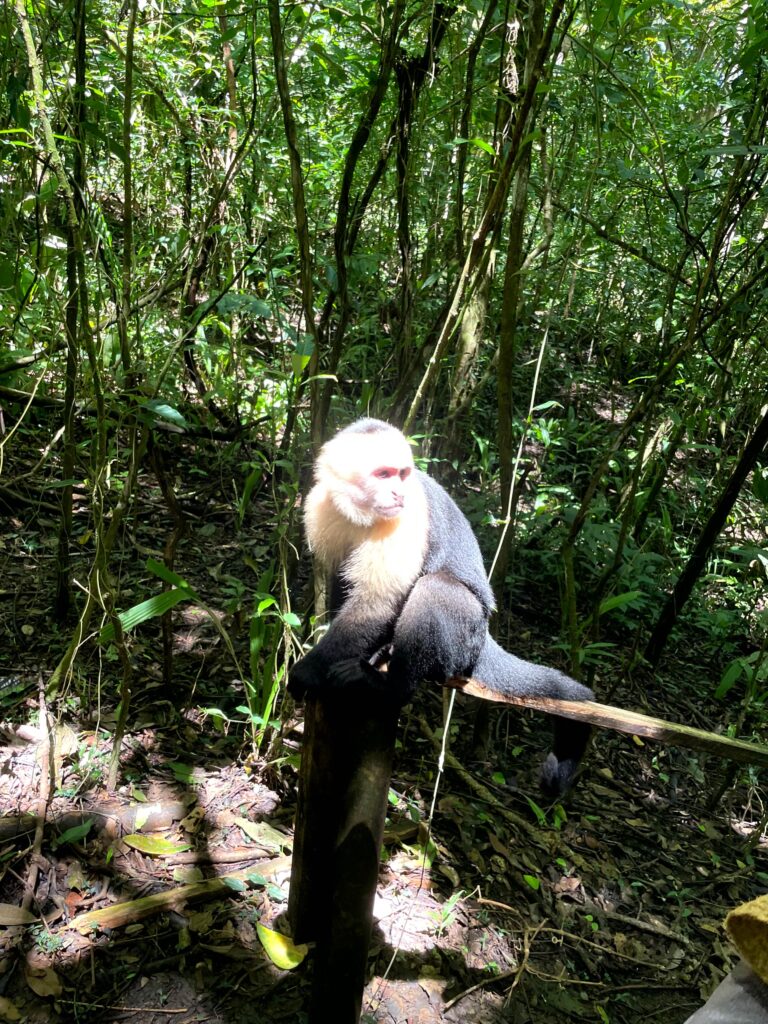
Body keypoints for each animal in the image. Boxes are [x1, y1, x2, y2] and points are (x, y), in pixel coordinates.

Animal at [288, 418, 594, 795]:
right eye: (383, 474)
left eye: (402, 474)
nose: (398, 494)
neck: (362, 511)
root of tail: (484, 638)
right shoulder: (322, 505)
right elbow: (340, 579)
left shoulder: (406, 517)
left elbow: (378, 603)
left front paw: (309, 669)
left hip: (466, 636)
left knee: (433, 591)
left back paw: (389, 688)